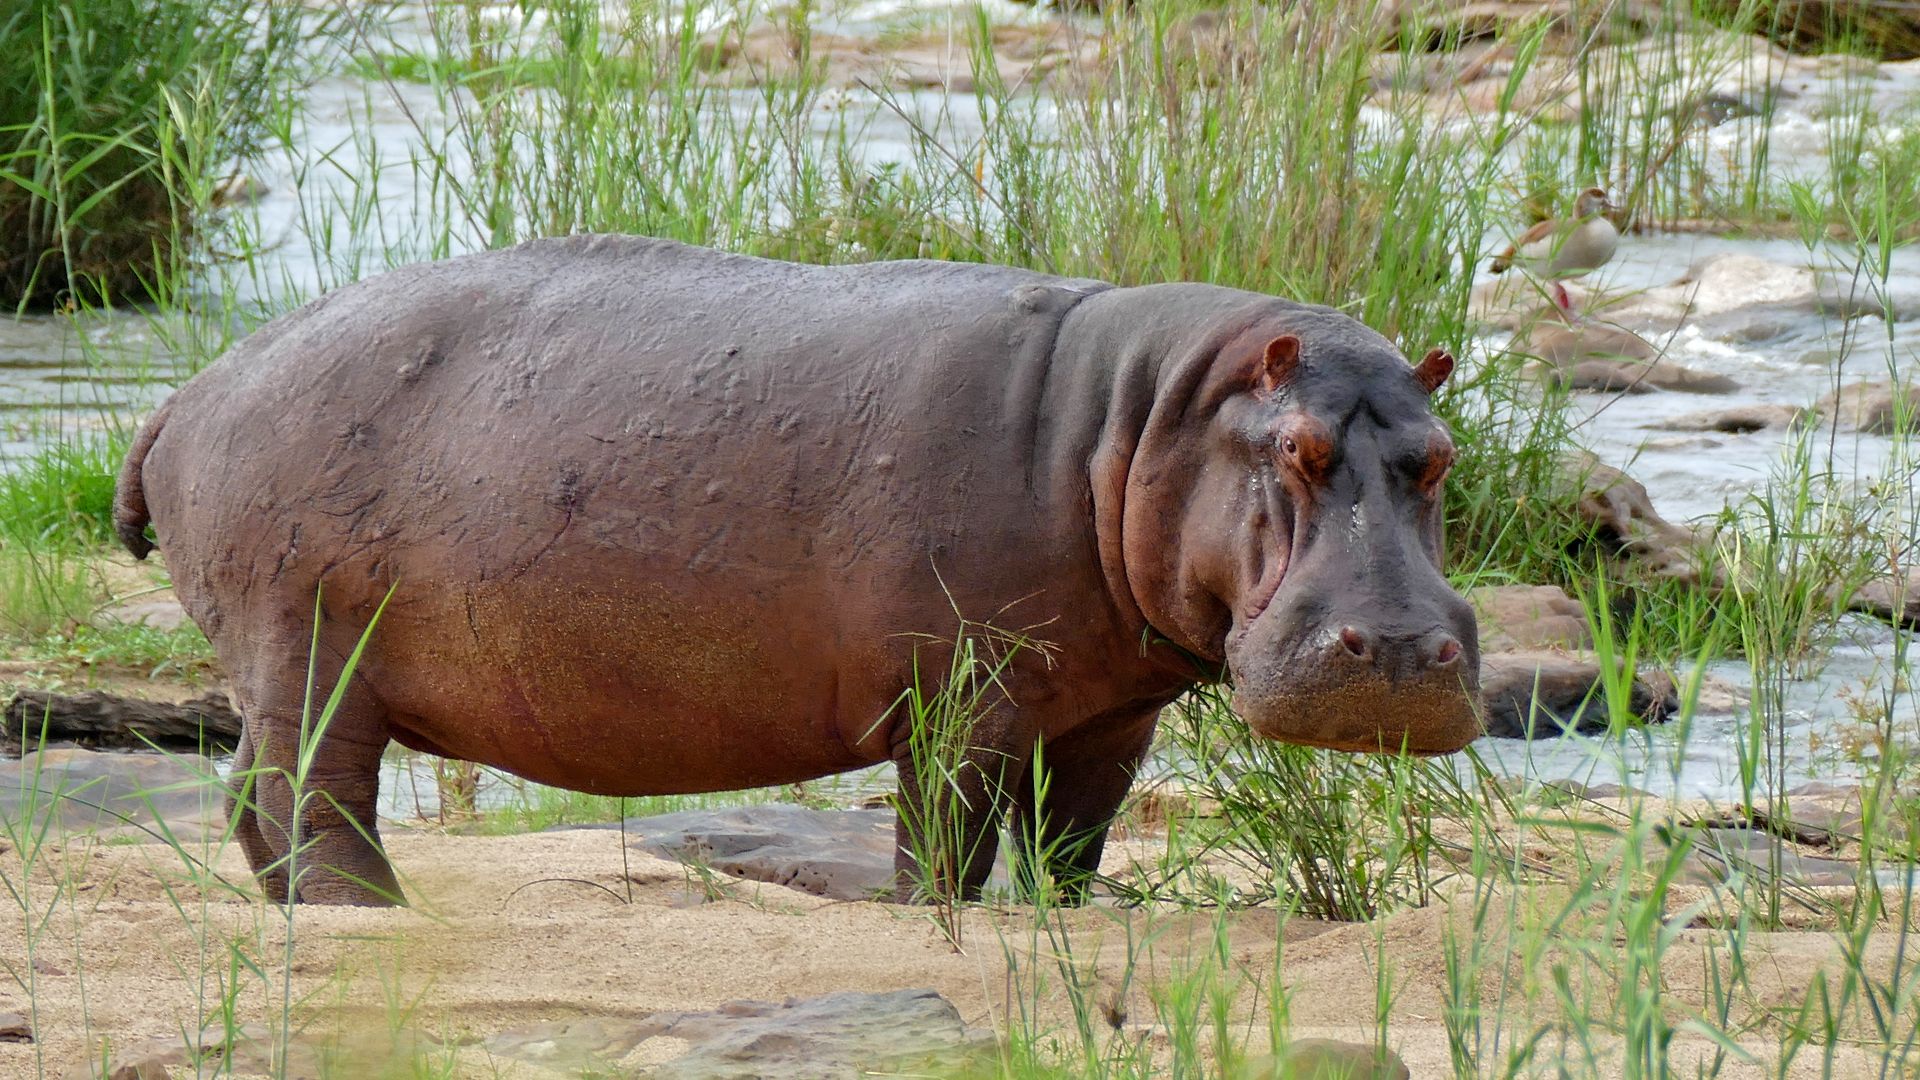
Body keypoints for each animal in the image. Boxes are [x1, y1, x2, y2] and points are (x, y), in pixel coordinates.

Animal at [113, 236, 1480, 906]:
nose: (1406, 651)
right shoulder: (960, 693)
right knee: (311, 794)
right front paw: (931, 920)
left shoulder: (1112, 711)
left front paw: (1064, 922)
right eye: (1298, 451)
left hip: (284, 658)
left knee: (256, 796)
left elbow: (1073, 840)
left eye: (1440, 456)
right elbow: (947, 833)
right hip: (310, 643)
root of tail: (193, 388)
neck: (1141, 420)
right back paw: (375, 913)